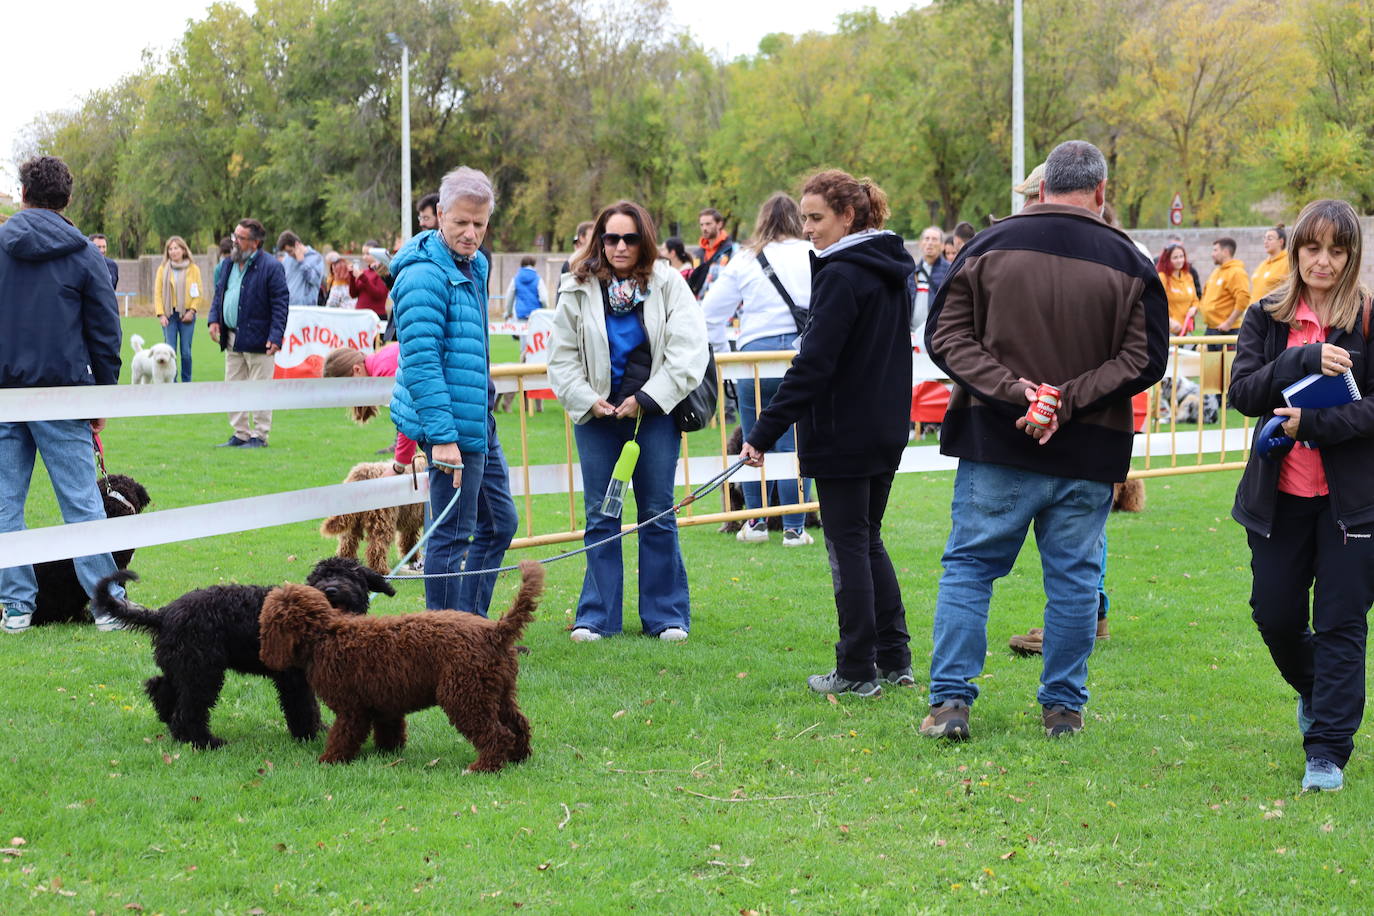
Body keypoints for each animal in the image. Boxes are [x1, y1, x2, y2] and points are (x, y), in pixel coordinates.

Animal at [92, 554, 395, 747]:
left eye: (350, 575)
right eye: (321, 576)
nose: (331, 589)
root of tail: (164, 614)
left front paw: (316, 730)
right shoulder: (292, 678)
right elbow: (302, 706)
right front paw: (309, 735)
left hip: (182, 666)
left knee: (160, 687)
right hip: (202, 672)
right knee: (189, 709)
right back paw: (203, 741)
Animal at [258, 563, 541, 769]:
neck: (325, 633)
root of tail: (495, 631)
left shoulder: (351, 708)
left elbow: (343, 735)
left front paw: (331, 760)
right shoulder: (385, 702)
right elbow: (389, 731)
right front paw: (386, 754)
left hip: (465, 695)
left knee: (498, 734)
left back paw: (484, 766)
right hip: (498, 692)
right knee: (519, 725)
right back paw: (519, 757)